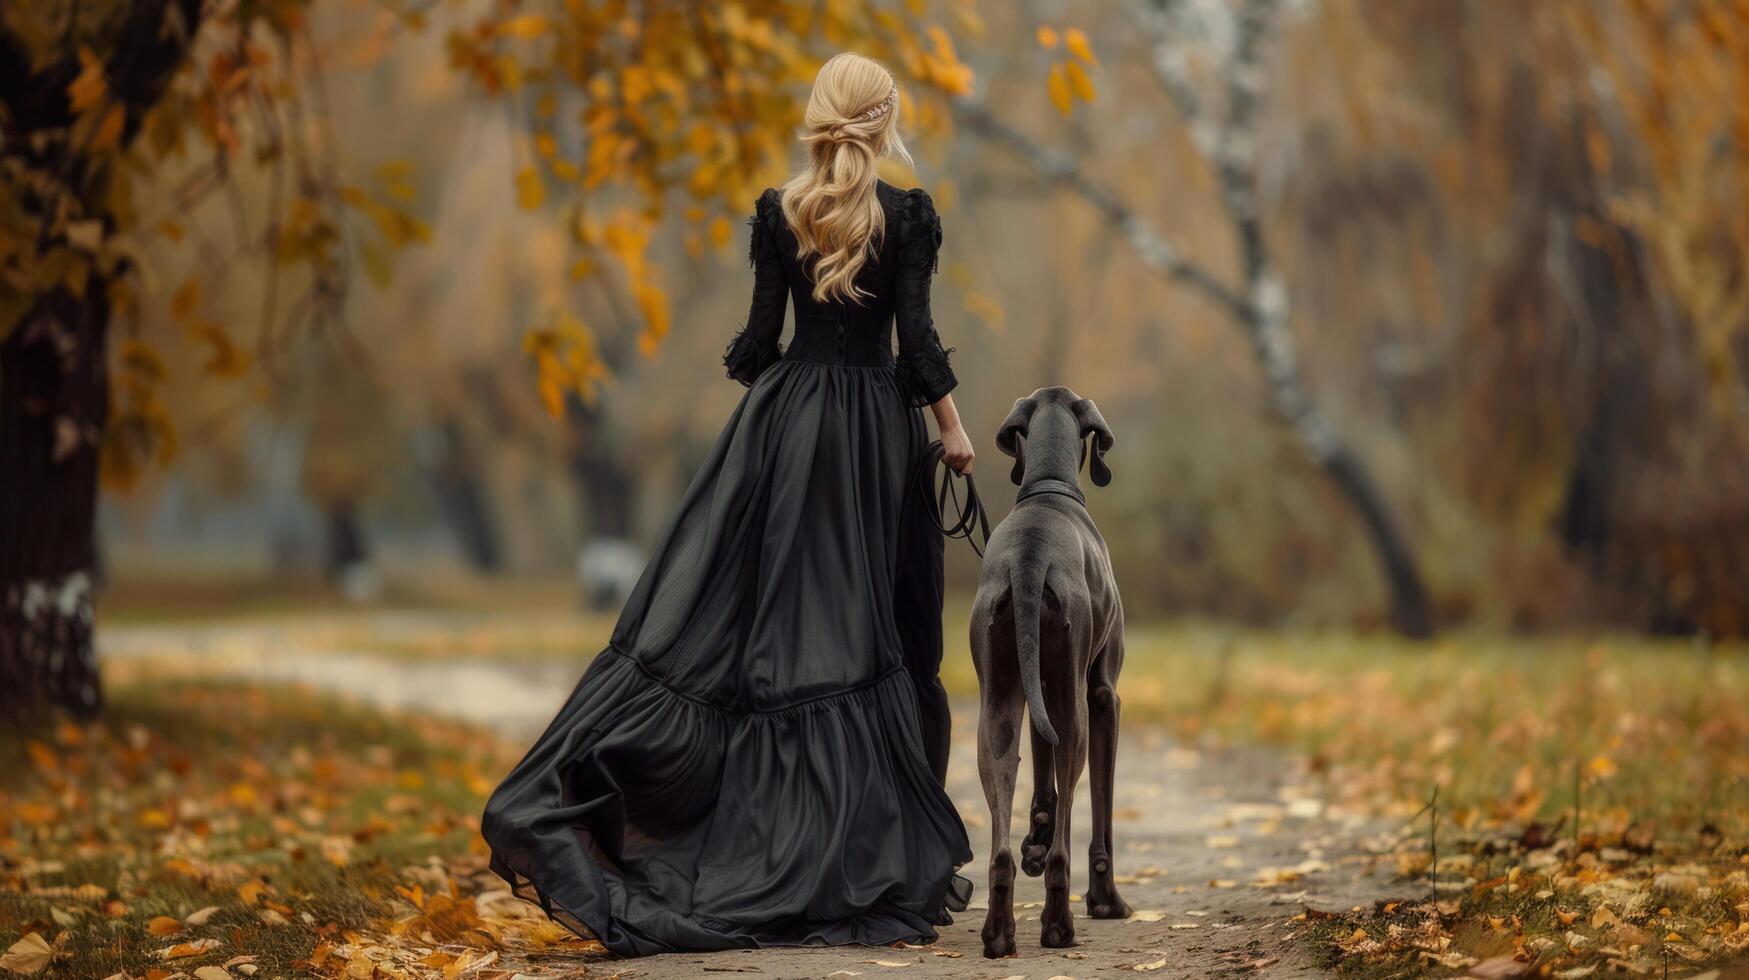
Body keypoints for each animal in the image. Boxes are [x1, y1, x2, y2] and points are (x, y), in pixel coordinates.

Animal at [965, 386, 1126, 959]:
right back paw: (1059, 923)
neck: (1048, 493)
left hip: (998, 704)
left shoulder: (1035, 687)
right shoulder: (1101, 694)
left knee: (998, 843)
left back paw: (1000, 930)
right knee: (1070, 832)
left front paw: (1033, 838)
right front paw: (1107, 900)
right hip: (1074, 704)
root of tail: (1030, 558)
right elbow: (1100, 806)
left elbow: (1040, 772)